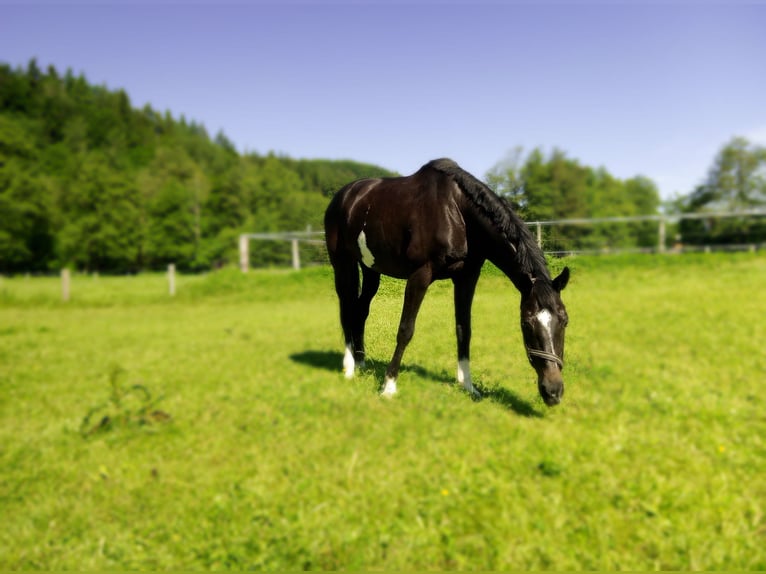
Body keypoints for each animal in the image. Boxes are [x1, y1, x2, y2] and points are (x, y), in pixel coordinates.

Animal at [324, 160, 568, 408]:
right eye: (526, 323)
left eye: (565, 321)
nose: (553, 391)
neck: (456, 211)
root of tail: (344, 196)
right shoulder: (420, 274)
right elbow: (405, 330)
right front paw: (389, 386)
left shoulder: (467, 276)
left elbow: (464, 329)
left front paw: (468, 385)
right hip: (342, 264)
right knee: (346, 310)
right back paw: (349, 368)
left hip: (371, 269)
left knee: (360, 311)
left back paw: (361, 362)